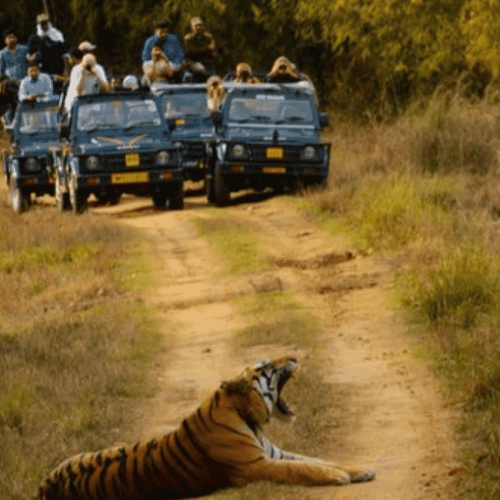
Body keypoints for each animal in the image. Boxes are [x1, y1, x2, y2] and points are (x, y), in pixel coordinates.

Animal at [35, 356, 376, 500]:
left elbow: (318, 460)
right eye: (266, 366)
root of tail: (44, 486)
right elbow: (304, 468)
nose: (294, 356)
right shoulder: (257, 466)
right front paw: (339, 476)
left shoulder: (276, 454)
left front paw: (360, 469)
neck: (246, 415)